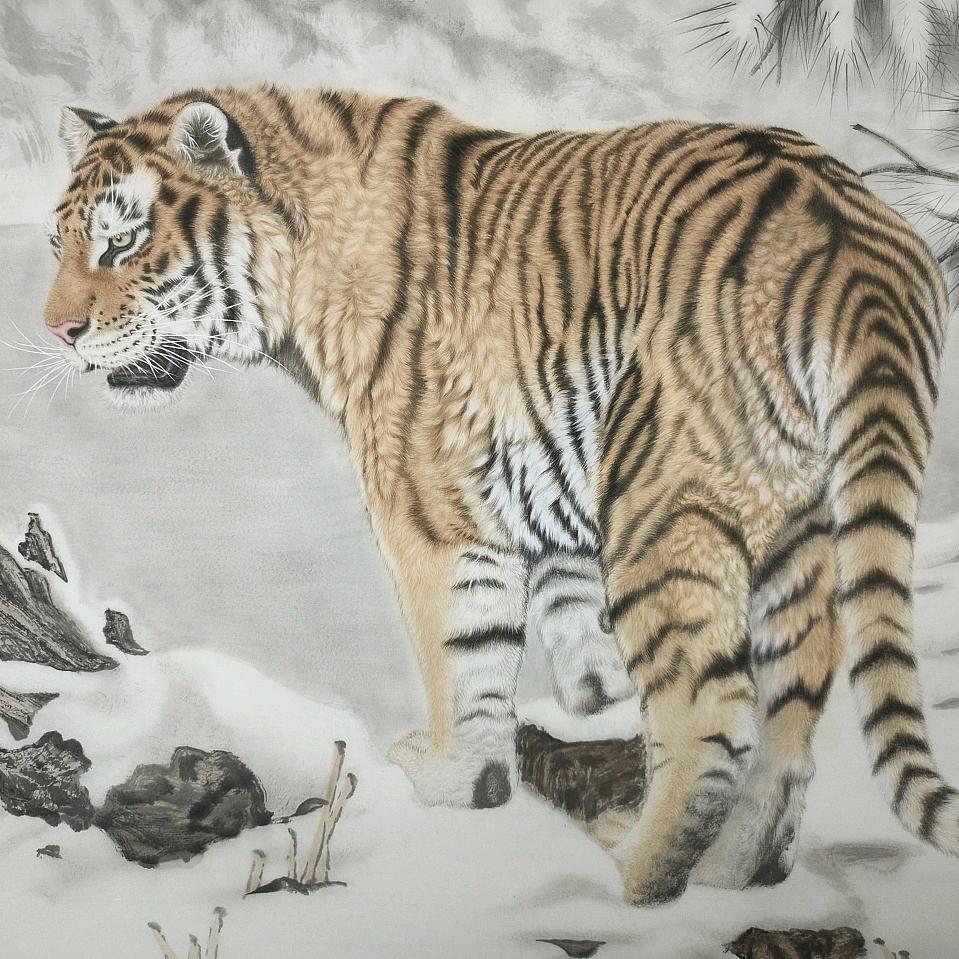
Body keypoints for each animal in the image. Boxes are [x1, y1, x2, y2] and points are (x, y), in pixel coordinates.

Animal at [39, 84, 957, 906]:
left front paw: (452, 780)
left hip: (661, 504)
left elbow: (462, 655)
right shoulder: (547, 498)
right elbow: (569, 625)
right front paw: (587, 705)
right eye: (58, 242)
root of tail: (845, 230)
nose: (56, 332)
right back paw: (730, 874)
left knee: (711, 721)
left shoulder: (431, 508)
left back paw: (630, 878)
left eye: (121, 243)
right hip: (794, 529)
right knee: (790, 720)